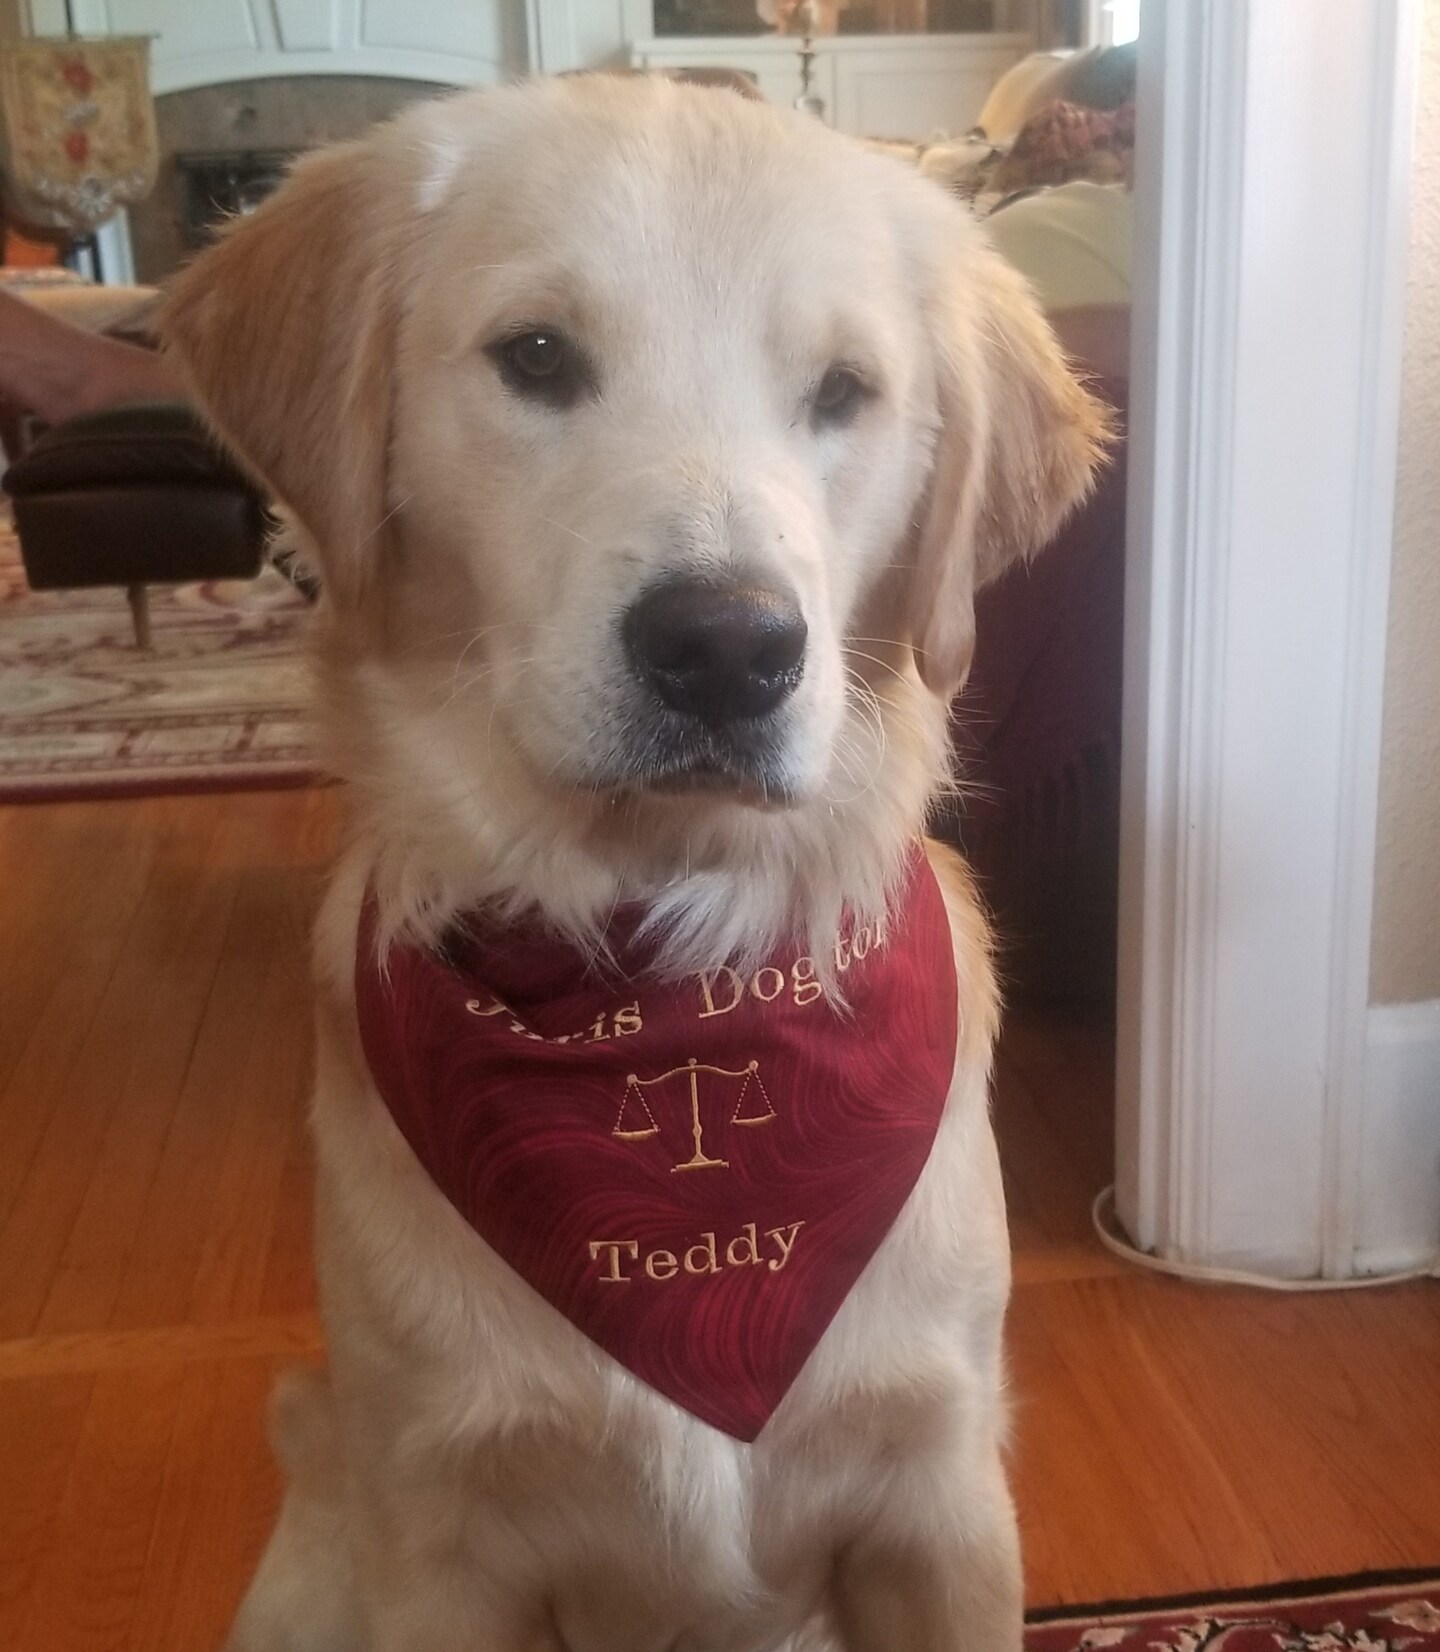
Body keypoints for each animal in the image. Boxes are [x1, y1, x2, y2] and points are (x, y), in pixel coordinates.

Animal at [165, 74, 1103, 1652]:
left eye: (844, 391)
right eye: (537, 356)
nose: (728, 647)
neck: (662, 974)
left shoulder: (942, 1504)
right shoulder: (443, 1545)